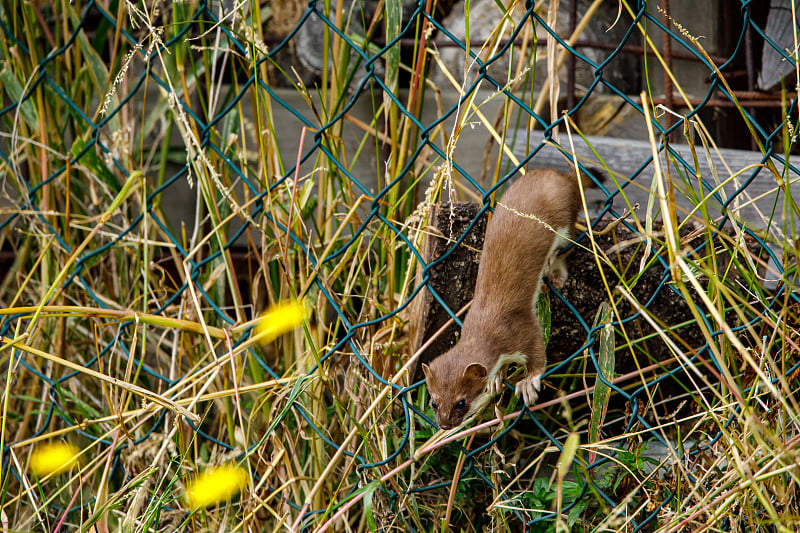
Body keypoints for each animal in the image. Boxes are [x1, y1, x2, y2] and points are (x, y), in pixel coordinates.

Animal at [422, 168, 596, 430]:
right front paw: (496, 378)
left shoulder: (521, 329)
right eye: (434, 402)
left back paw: (555, 271)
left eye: (461, 402)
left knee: (568, 246)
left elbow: (537, 353)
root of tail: (559, 175)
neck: (483, 324)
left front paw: (528, 383)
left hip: (564, 224)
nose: (444, 425)